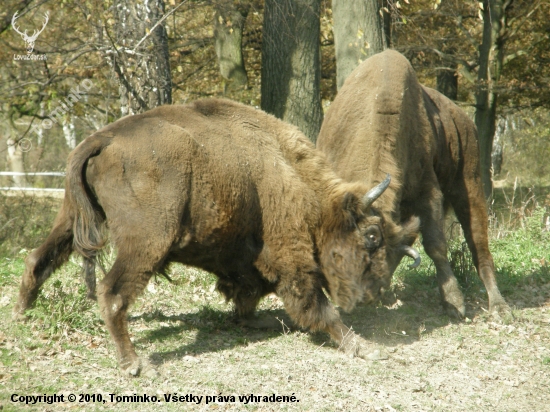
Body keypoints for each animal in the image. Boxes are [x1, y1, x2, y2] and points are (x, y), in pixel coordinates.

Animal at [14, 98, 422, 374]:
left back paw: (21, 314)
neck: (294, 174)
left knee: (39, 259)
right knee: (113, 294)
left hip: (71, 217)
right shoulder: (290, 250)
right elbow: (316, 305)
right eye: (371, 235)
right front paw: (366, 348)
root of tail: (104, 139)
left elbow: (249, 291)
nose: (374, 294)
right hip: (147, 241)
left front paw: (253, 320)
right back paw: (136, 365)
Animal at [316, 50, 512, 318]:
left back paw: (500, 306)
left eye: (372, 237)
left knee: (478, 244)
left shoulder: (428, 193)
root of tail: (466, 121)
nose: (367, 294)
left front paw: (454, 302)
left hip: (470, 185)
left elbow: (436, 244)